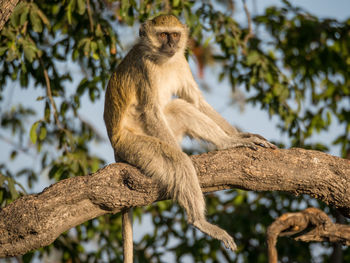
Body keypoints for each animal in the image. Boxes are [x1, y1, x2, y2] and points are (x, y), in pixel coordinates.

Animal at [104, 14, 276, 263]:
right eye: (163, 35)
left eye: (175, 35)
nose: (171, 44)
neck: (163, 61)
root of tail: (116, 147)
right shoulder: (145, 69)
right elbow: (151, 111)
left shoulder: (181, 62)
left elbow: (196, 101)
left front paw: (238, 135)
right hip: (133, 144)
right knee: (178, 161)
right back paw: (199, 220)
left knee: (180, 107)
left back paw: (229, 142)